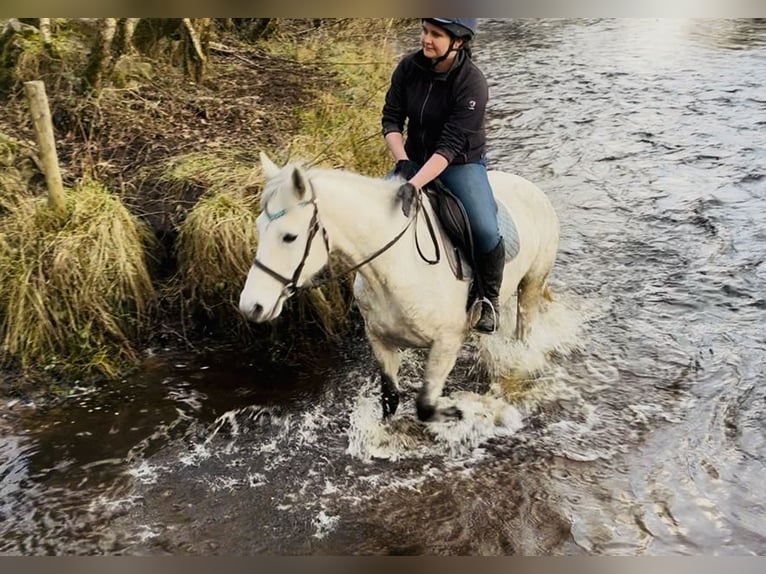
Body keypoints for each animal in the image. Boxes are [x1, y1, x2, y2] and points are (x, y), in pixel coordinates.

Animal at [239, 152, 560, 422]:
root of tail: (532, 189)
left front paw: (457, 412)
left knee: (523, 331)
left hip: (531, 285)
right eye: (258, 229)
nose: (251, 306)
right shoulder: (381, 341)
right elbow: (390, 399)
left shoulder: (446, 344)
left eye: (289, 236)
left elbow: (425, 406)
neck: (394, 266)